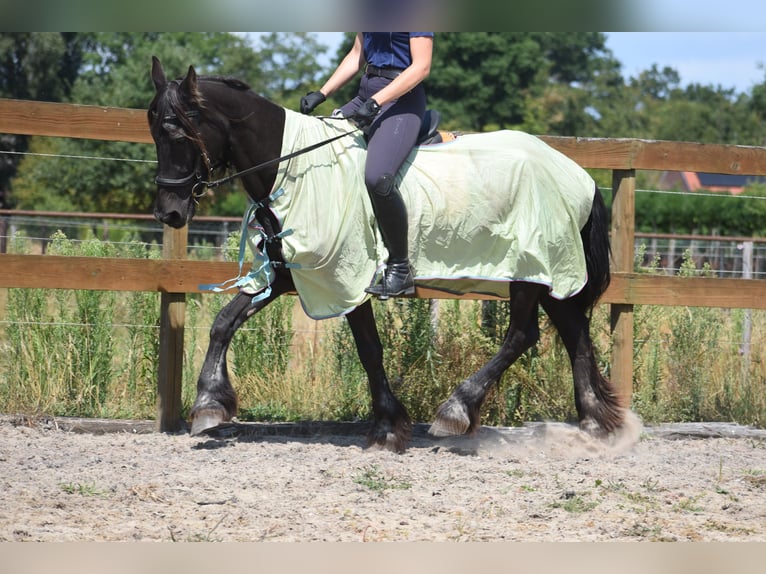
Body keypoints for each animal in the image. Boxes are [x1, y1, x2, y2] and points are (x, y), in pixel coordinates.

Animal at [148, 57, 625, 452]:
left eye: (177, 132)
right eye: (154, 132)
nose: (169, 212)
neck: (293, 167)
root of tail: (576, 173)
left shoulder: (344, 277)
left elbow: (368, 348)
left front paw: (387, 428)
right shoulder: (287, 272)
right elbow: (224, 321)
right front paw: (209, 403)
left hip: (529, 268)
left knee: (523, 335)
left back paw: (457, 411)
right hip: (551, 272)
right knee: (573, 331)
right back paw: (595, 424)